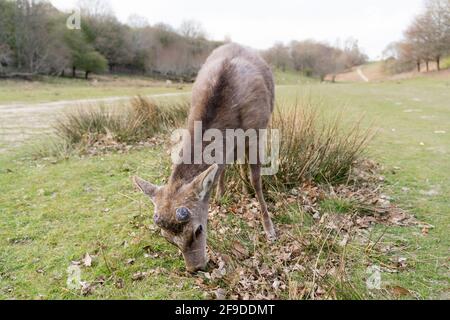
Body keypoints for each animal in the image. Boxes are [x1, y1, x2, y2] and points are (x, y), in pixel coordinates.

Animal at [132, 42, 276, 272]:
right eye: (167, 238)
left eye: (198, 229)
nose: (195, 268)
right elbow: (222, 164)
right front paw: (220, 195)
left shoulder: (257, 131)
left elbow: (257, 179)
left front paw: (270, 230)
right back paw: (221, 193)